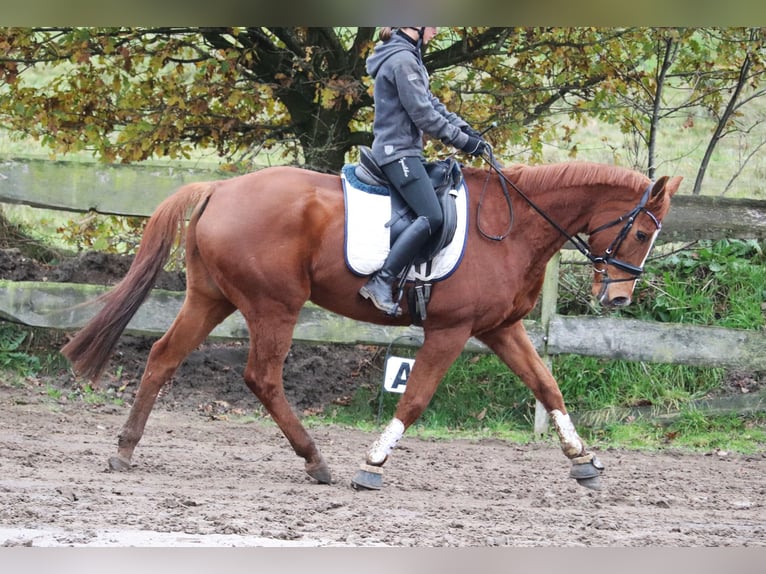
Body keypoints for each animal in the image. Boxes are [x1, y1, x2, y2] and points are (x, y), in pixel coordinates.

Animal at [61, 158, 684, 496]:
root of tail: (220, 187)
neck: (513, 227)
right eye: (640, 232)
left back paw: (125, 450)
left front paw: (583, 463)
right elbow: (416, 398)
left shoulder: (501, 328)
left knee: (163, 358)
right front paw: (373, 465)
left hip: (210, 298)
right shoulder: (451, 330)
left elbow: (546, 385)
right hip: (273, 305)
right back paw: (316, 460)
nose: (619, 298)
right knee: (263, 377)